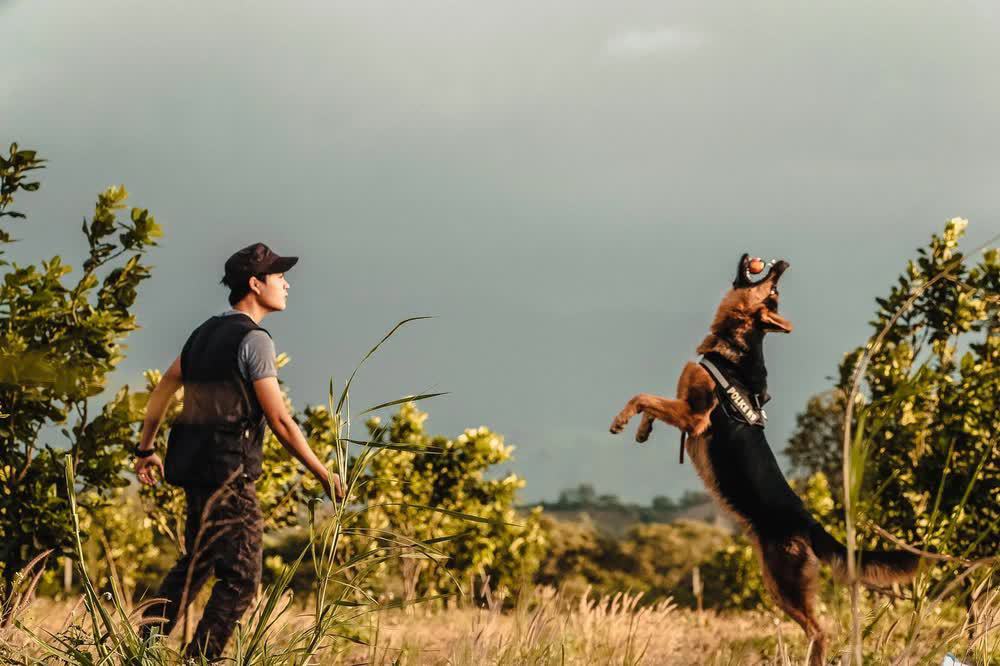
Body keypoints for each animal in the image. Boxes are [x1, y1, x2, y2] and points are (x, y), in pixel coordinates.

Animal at [604, 252, 916, 660]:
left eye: (773, 290)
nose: (782, 263)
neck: (735, 347)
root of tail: (809, 523)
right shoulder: (684, 408)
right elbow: (654, 406)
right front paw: (642, 430)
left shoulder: (694, 417)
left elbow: (642, 397)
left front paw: (621, 421)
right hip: (775, 583)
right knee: (815, 627)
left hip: (784, 582)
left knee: (821, 630)